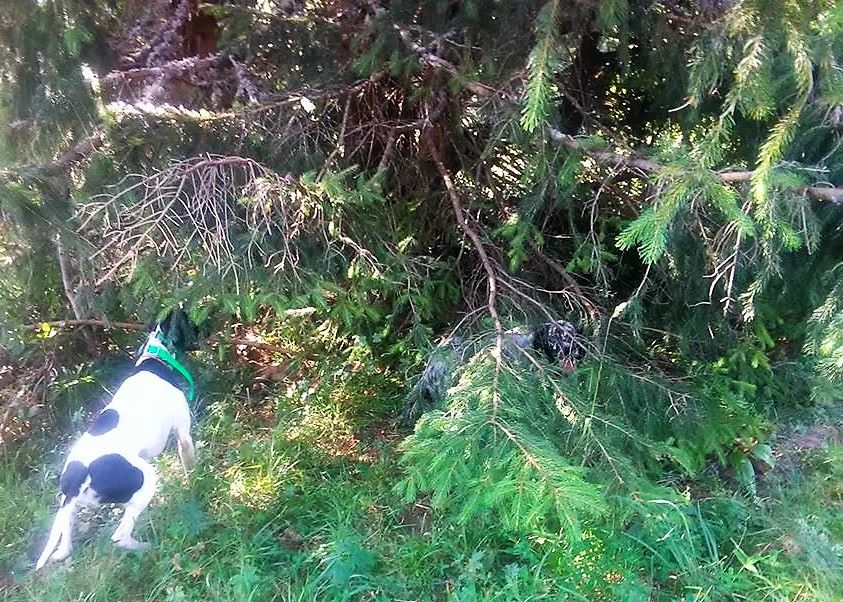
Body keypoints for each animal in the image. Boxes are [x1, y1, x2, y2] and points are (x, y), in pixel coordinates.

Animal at [35, 310, 199, 568]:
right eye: (190, 322)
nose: (204, 327)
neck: (156, 358)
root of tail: (78, 476)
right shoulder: (183, 435)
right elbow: (192, 470)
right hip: (147, 479)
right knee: (120, 536)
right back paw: (147, 547)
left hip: (68, 505)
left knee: (65, 538)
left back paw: (63, 552)